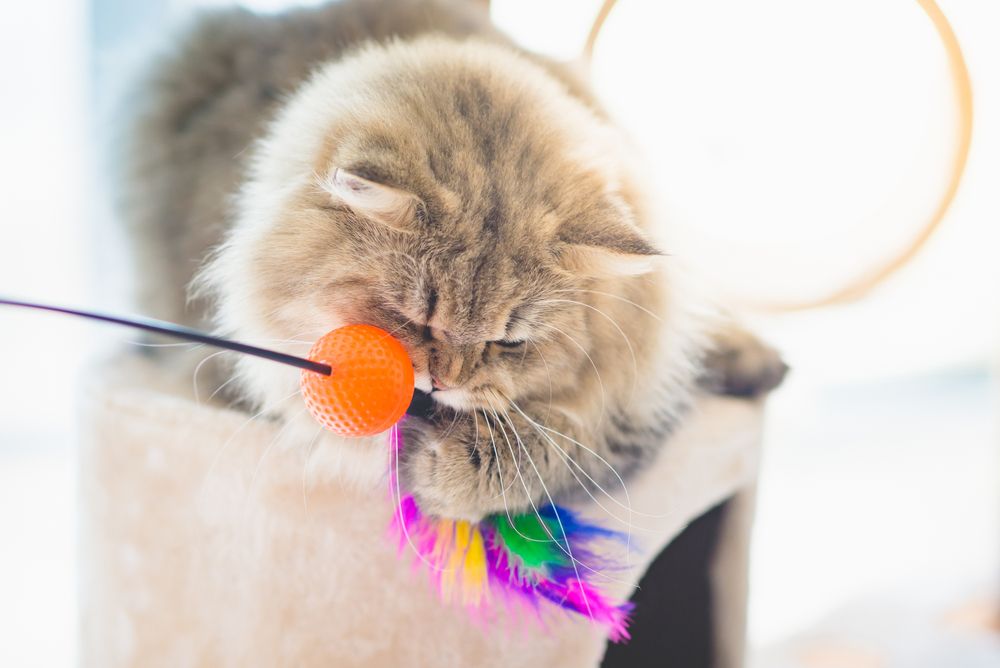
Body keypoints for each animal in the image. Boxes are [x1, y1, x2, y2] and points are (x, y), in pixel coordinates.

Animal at [121, 0, 784, 520]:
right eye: (413, 317)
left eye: (510, 343)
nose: (447, 382)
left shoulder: (634, 404)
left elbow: (556, 443)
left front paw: (450, 467)